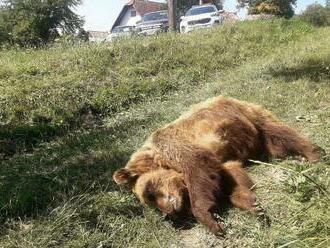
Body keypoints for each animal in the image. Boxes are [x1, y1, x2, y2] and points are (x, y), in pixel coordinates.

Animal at [112, 96, 324, 235]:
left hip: (247, 117)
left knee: (281, 133)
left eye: (149, 193)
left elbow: (199, 171)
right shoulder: (222, 163)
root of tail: (230, 97)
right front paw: (254, 207)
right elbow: (231, 181)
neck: (161, 158)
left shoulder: (178, 148)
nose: (170, 214)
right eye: (151, 203)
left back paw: (314, 155)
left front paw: (210, 221)